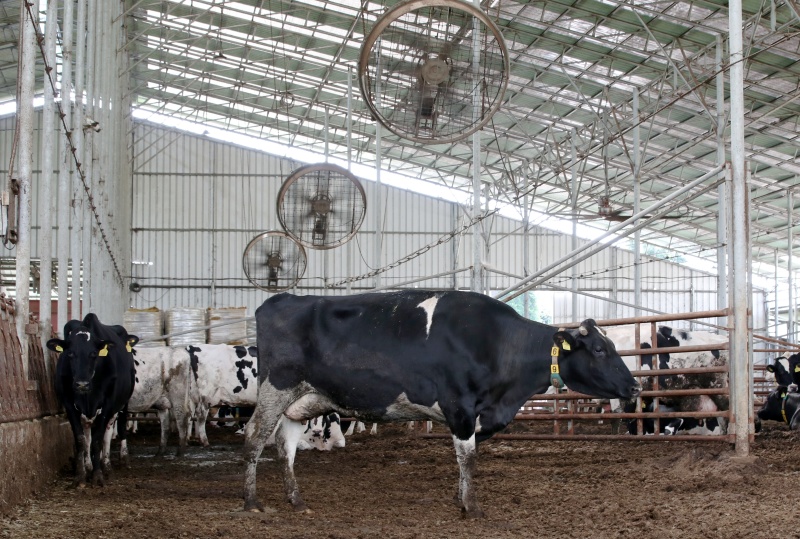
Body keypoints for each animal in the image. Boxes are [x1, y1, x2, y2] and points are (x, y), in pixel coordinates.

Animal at [47, 314, 138, 488]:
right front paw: (80, 475)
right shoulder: (69, 405)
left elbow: (98, 439)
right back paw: (89, 465)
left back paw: (111, 464)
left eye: (94, 354)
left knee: (113, 429)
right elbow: (81, 439)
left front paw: (97, 476)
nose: (82, 384)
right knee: (89, 431)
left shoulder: (107, 405)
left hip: (123, 402)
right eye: (70, 353)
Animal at [241, 292, 640, 520]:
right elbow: (468, 457)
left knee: (286, 449)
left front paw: (460, 497)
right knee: (254, 439)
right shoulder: (459, 406)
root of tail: (282, 298)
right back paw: (252, 502)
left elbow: (465, 459)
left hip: (300, 401)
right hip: (276, 388)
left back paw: (296, 500)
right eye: (600, 349)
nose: (634, 385)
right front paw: (472, 507)